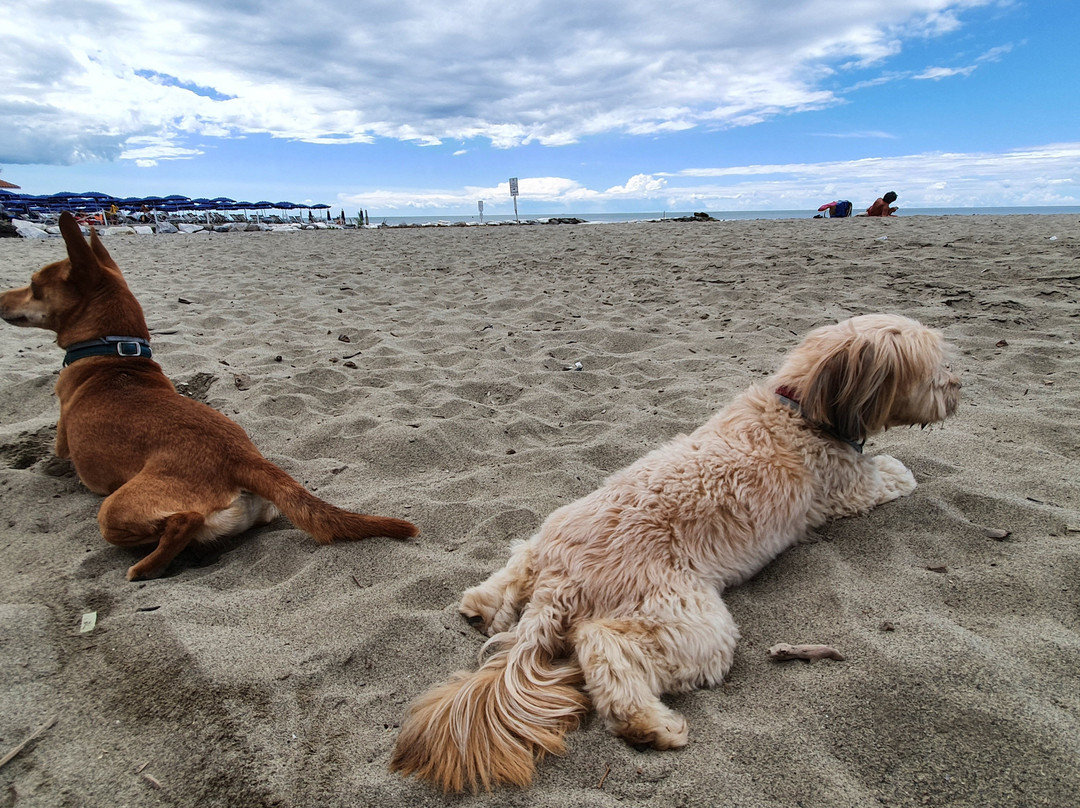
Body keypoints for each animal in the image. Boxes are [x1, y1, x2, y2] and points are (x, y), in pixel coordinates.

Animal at [1, 212, 416, 578]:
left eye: (34, 286)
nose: (2, 297)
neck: (116, 355)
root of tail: (242, 457)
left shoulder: (62, 442)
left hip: (114, 509)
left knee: (183, 522)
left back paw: (145, 568)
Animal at [390, 313, 963, 790]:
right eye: (933, 368)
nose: (958, 388)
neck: (799, 407)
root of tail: (564, 578)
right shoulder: (852, 489)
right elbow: (895, 473)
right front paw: (904, 467)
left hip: (540, 543)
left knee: (508, 576)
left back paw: (481, 606)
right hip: (690, 622)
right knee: (603, 646)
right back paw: (648, 725)